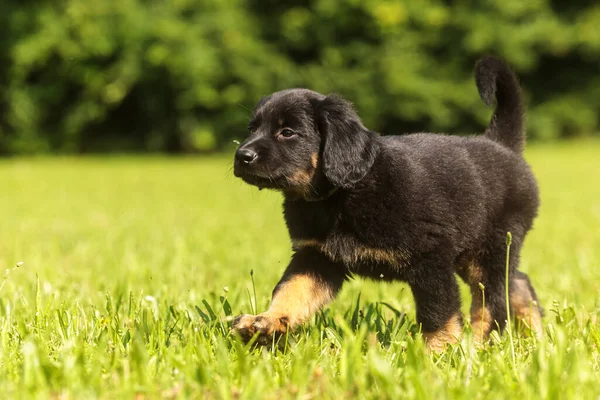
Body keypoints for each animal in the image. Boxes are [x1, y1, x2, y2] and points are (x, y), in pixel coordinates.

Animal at [232, 55, 540, 350]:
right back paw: (534, 332)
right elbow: (291, 291)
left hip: (489, 251)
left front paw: (437, 354)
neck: (342, 195)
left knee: (492, 303)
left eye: (287, 132)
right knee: (517, 282)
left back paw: (477, 346)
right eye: (252, 129)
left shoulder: (432, 258)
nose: (241, 156)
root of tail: (501, 145)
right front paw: (266, 321)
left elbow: (438, 312)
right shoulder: (316, 257)